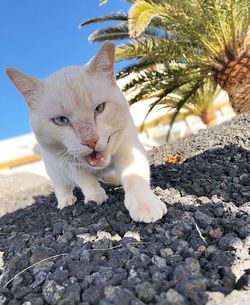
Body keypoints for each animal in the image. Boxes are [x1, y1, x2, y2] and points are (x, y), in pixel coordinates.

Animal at [5, 41, 167, 221]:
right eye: (61, 120)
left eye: (99, 108)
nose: (90, 140)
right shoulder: (67, 163)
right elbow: (85, 179)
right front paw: (95, 196)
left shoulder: (128, 145)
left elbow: (134, 174)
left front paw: (145, 204)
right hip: (53, 168)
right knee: (61, 185)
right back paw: (66, 200)